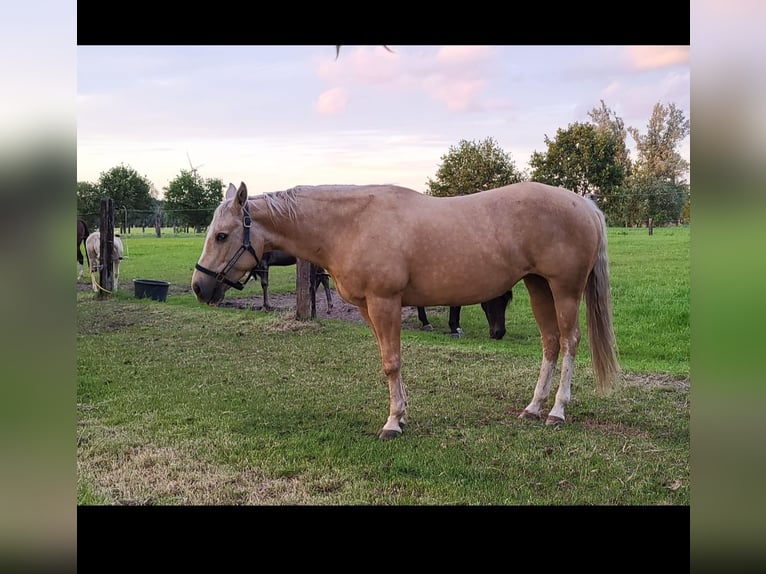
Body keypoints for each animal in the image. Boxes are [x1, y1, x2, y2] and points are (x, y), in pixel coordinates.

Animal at [192, 181, 620, 440]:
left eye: (222, 235)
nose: (199, 286)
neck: (351, 224)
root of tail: (583, 203)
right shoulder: (370, 307)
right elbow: (389, 359)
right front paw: (402, 412)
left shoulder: (385, 301)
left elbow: (392, 361)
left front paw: (393, 422)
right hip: (537, 286)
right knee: (550, 342)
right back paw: (533, 407)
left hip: (565, 289)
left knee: (569, 342)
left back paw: (557, 410)